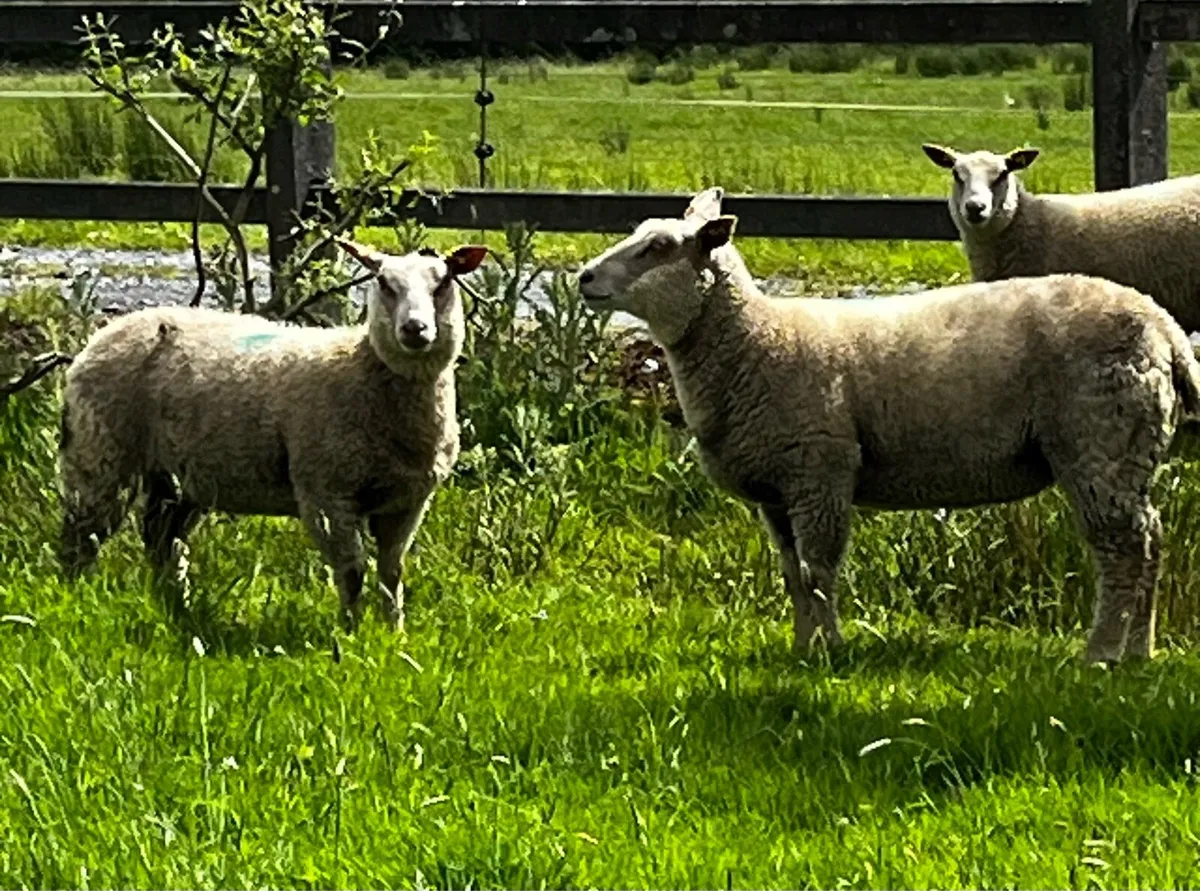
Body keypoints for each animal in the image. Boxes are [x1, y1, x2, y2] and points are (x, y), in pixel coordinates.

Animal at [57, 240, 489, 631]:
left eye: (444, 282)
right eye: (384, 283)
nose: (415, 329)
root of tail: (103, 336)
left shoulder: (408, 501)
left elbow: (391, 573)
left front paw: (394, 635)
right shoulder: (325, 493)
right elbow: (352, 572)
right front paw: (349, 636)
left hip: (179, 478)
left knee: (163, 540)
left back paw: (177, 605)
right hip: (100, 453)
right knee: (82, 537)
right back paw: (75, 600)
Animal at [576, 186, 1200, 665]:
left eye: (659, 247)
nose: (584, 277)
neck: (757, 340)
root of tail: (1164, 328)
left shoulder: (821, 469)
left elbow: (819, 571)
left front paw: (827, 651)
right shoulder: (776, 491)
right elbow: (792, 575)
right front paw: (801, 648)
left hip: (1099, 439)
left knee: (1122, 548)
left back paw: (1101, 653)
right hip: (1127, 448)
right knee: (1151, 539)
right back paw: (1139, 652)